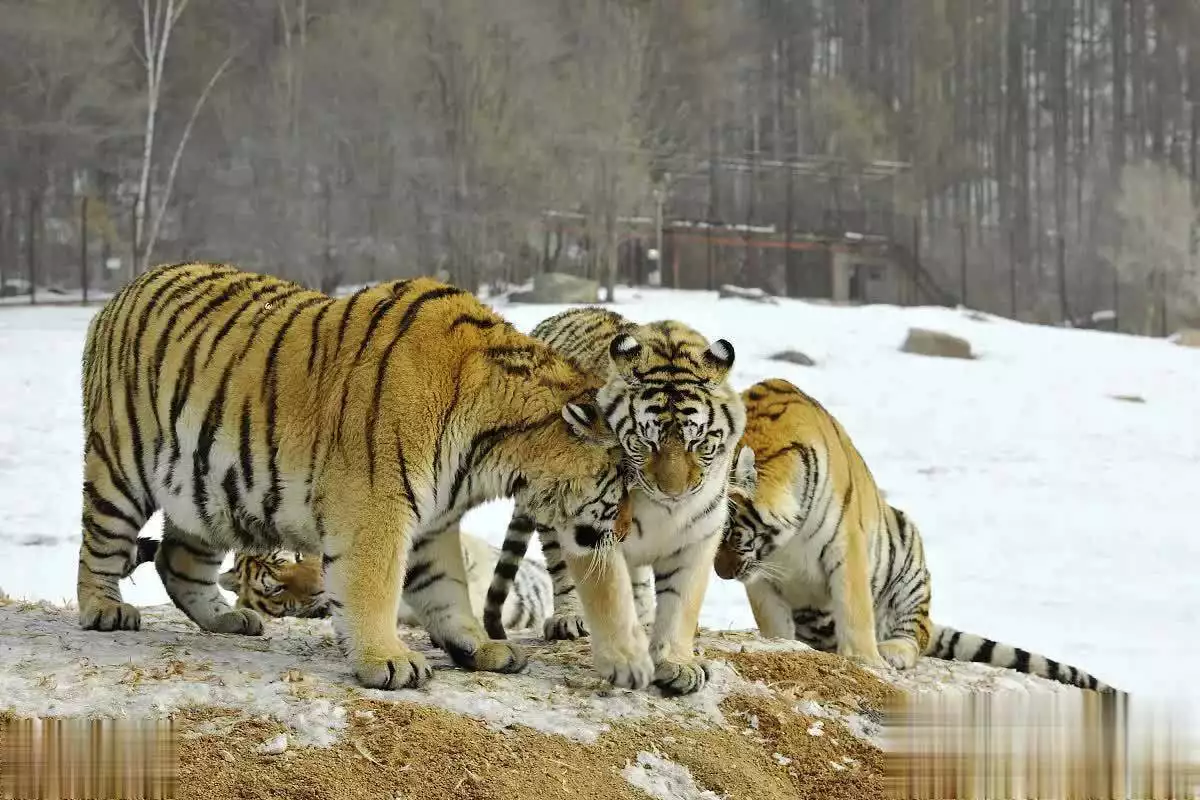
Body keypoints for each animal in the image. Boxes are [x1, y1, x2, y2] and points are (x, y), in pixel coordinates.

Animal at [76, 261, 637, 692]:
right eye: (626, 480)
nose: (629, 531)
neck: (489, 454)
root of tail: (119, 293)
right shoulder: (375, 507)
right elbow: (374, 585)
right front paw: (387, 659)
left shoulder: (434, 522)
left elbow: (447, 589)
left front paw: (479, 647)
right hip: (120, 467)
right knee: (99, 543)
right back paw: (105, 610)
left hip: (208, 495)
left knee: (177, 560)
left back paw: (228, 619)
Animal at [482, 308, 746, 696]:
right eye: (646, 442)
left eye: (697, 442)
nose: (673, 492)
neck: (666, 511)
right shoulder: (591, 527)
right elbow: (609, 595)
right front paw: (627, 661)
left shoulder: (699, 534)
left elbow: (680, 604)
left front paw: (677, 663)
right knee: (559, 568)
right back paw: (569, 618)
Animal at [715, 377, 1118, 694]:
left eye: (729, 533)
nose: (721, 574)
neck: (783, 543)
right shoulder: (762, 578)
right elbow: (774, 622)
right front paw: (781, 647)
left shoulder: (846, 546)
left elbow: (855, 610)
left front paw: (867, 661)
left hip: (908, 558)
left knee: (917, 635)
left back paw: (893, 650)